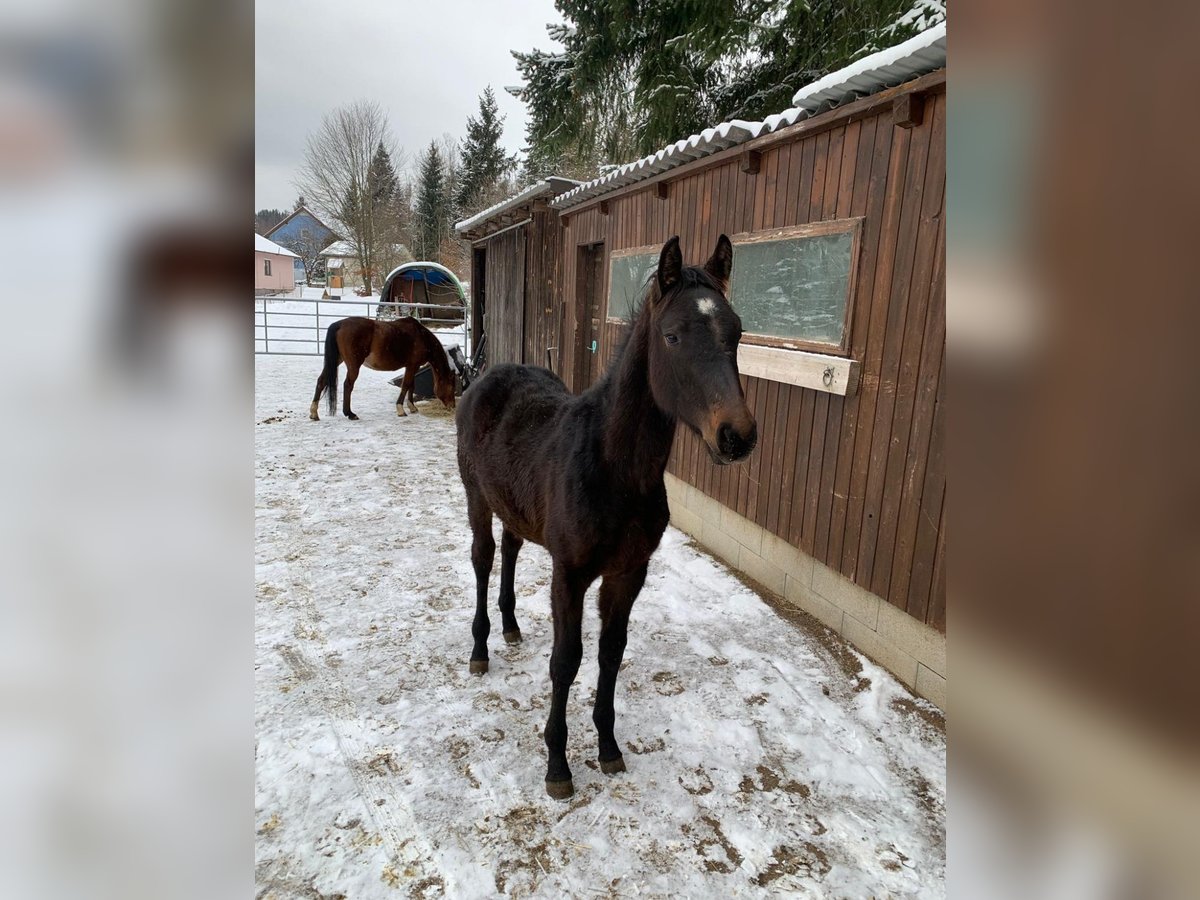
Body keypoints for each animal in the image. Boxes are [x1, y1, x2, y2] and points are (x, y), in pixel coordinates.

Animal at [309, 316, 453, 422]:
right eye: (451, 386)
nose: (452, 406)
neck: (421, 336)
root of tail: (340, 324)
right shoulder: (413, 366)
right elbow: (406, 385)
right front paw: (401, 409)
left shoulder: (412, 366)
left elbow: (411, 385)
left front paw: (412, 407)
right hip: (353, 365)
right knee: (348, 385)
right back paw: (350, 413)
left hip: (337, 360)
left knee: (321, 381)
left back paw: (314, 413)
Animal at [453, 236, 753, 801]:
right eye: (672, 336)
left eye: (739, 331)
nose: (736, 436)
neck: (616, 471)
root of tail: (486, 377)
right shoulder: (570, 574)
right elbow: (566, 660)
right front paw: (557, 764)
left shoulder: (628, 573)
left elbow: (611, 652)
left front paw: (609, 746)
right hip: (476, 498)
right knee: (483, 558)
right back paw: (480, 647)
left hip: (515, 507)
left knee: (510, 550)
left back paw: (510, 626)